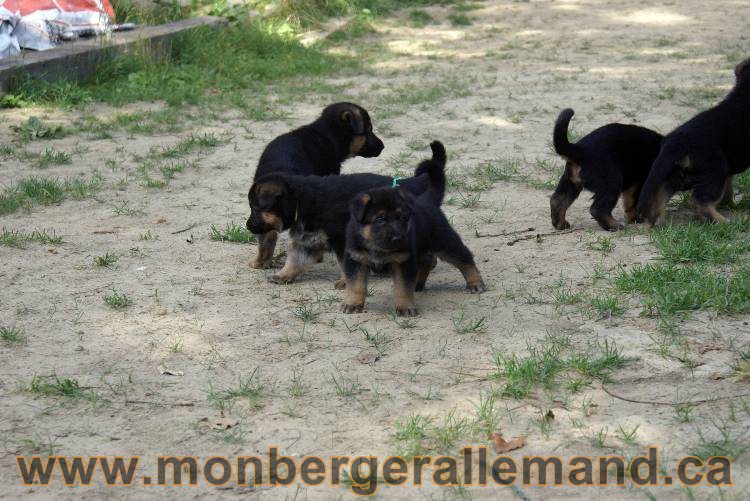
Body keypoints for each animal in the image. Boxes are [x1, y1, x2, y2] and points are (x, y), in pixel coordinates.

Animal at [247, 143, 446, 288]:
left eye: (255, 209)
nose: (248, 226)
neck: (299, 201)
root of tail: (416, 184)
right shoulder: (306, 240)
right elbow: (294, 260)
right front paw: (283, 275)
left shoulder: (341, 239)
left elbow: (344, 263)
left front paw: (344, 282)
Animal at [342, 141, 484, 314]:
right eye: (380, 219)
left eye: (402, 217)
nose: (398, 237)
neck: (377, 246)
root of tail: (428, 199)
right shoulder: (356, 259)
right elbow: (355, 285)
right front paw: (352, 303)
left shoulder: (403, 261)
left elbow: (403, 288)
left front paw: (405, 307)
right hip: (421, 246)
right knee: (428, 260)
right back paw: (418, 283)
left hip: (445, 242)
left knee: (464, 258)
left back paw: (475, 283)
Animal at [636, 57, 750, 227]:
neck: (743, 93)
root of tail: (677, 141)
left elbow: (728, 191)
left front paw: (731, 206)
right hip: (716, 169)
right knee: (699, 202)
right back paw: (724, 222)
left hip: (675, 174)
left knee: (659, 198)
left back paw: (658, 224)